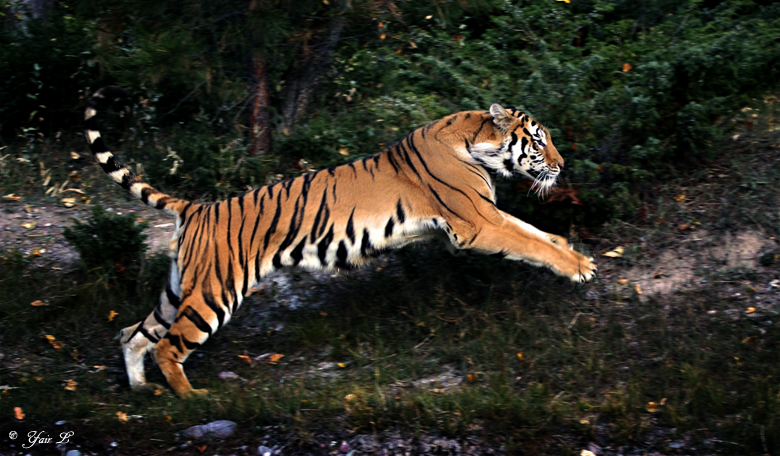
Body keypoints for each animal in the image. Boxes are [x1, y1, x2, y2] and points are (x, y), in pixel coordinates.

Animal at [84, 86, 597, 397]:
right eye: (538, 141)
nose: (562, 164)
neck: (474, 142)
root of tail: (195, 208)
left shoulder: (486, 214)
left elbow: (533, 233)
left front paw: (573, 251)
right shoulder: (475, 222)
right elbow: (527, 241)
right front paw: (578, 268)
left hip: (178, 290)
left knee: (133, 334)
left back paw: (141, 390)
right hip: (214, 292)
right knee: (168, 347)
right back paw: (193, 399)